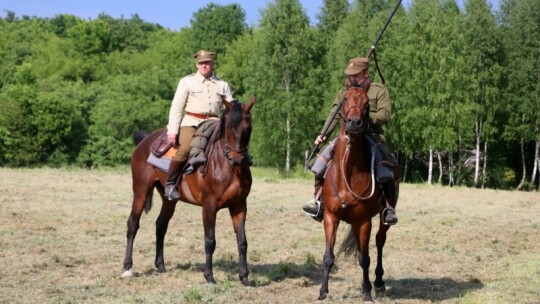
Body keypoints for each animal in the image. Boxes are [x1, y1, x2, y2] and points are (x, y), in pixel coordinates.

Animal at [123, 96, 256, 286]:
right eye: (229, 127)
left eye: (248, 128)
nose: (237, 159)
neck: (227, 167)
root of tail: (145, 140)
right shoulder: (209, 206)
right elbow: (210, 241)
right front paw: (209, 276)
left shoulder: (239, 206)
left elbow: (242, 241)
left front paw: (244, 277)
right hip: (140, 191)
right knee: (133, 224)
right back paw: (127, 268)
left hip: (168, 199)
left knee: (160, 225)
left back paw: (160, 266)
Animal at [316, 82, 396, 302]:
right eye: (345, 99)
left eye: (367, 102)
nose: (354, 123)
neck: (348, 172)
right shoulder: (331, 216)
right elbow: (328, 256)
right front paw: (323, 291)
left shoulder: (363, 221)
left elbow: (364, 258)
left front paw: (367, 292)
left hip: (382, 219)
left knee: (379, 242)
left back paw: (378, 283)